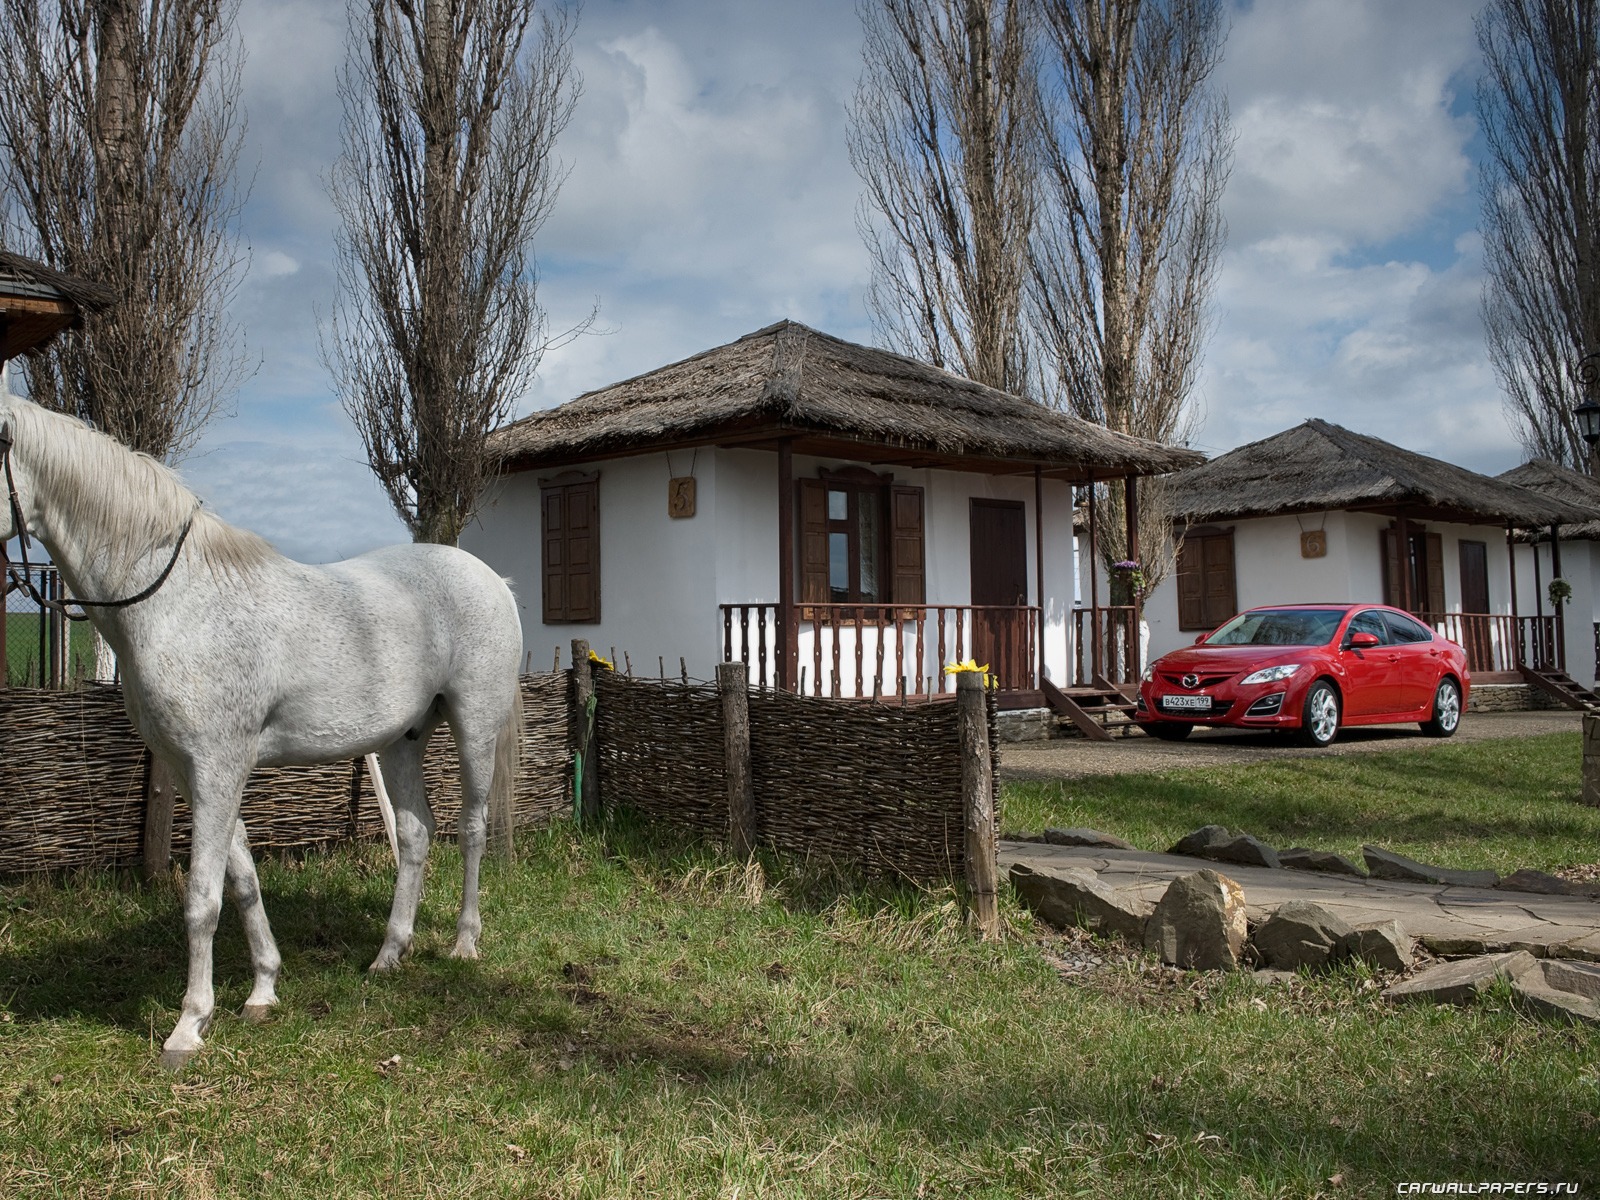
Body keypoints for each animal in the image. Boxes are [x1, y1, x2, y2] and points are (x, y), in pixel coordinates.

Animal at [0, 395, 524, 1068]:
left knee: (473, 828)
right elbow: (243, 881)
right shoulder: (197, 772)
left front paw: (189, 1026)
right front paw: (262, 992)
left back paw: (463, 943)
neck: (178, 601)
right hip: (399, 741)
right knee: (414, 834)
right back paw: (388, 956)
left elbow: (203, 898)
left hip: (474, 726)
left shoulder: (218, 767)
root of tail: (492, 580)